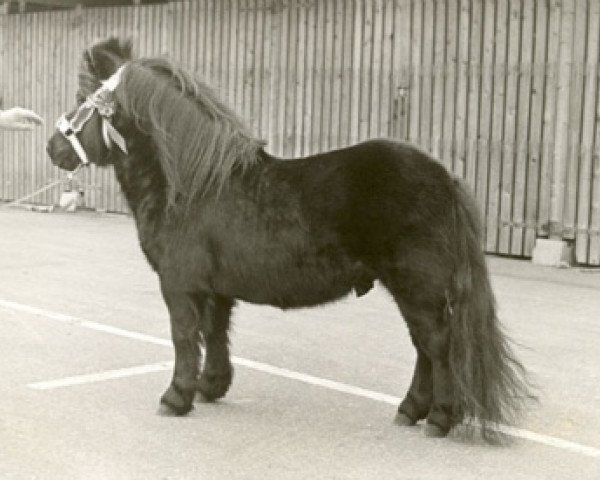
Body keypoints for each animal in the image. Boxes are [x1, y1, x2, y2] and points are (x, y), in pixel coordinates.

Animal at [48, 38, 536, 442]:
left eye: (81, 102)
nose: (54, 148)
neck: (194, 185)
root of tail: (446, 179)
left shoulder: (180, 285)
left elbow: (185, 337)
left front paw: (176, 396)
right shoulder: (215, 290)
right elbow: (215, 333)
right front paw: (211, 387)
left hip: (419, 286)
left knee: (437, 345)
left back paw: (439, 417)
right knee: (424, 347)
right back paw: (411, 410)